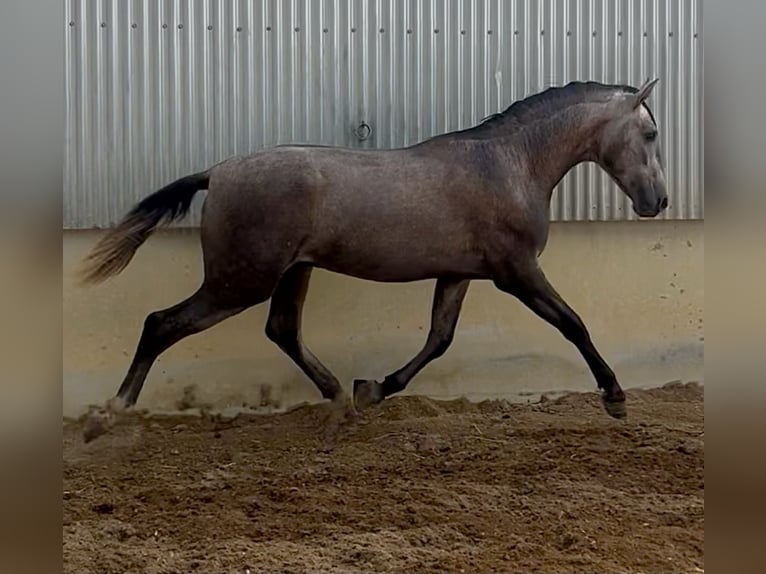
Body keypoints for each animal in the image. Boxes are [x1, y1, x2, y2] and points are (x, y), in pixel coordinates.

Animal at [78, 78, 667, 440]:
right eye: (651, 132)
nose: (658, 201)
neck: (508, 165)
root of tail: (216, 173)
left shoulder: (458, 274)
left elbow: (439, 339)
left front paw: (375, 389)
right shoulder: (516, 272)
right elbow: (573, 324)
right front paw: (615, 397)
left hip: (291, 272)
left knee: (281, 329)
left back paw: (341, 397)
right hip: (240, 280)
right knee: (161, 324)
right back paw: (108, 416)